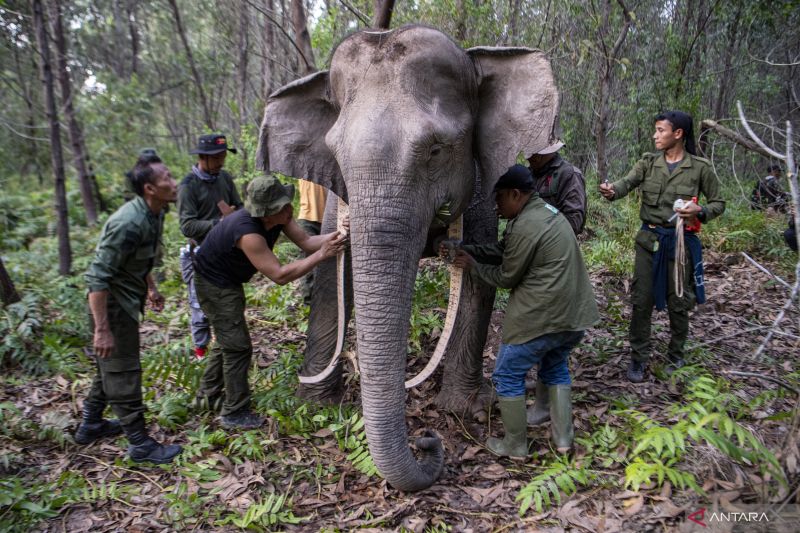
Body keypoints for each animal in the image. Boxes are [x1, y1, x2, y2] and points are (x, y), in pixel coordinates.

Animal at [260, 23, 560, 490]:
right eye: (336, 155)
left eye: (437, 150)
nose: (427, 440)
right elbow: (331, 275)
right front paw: (314, 404)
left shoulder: (481, 186)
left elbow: (480, 278)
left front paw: (462, 410)